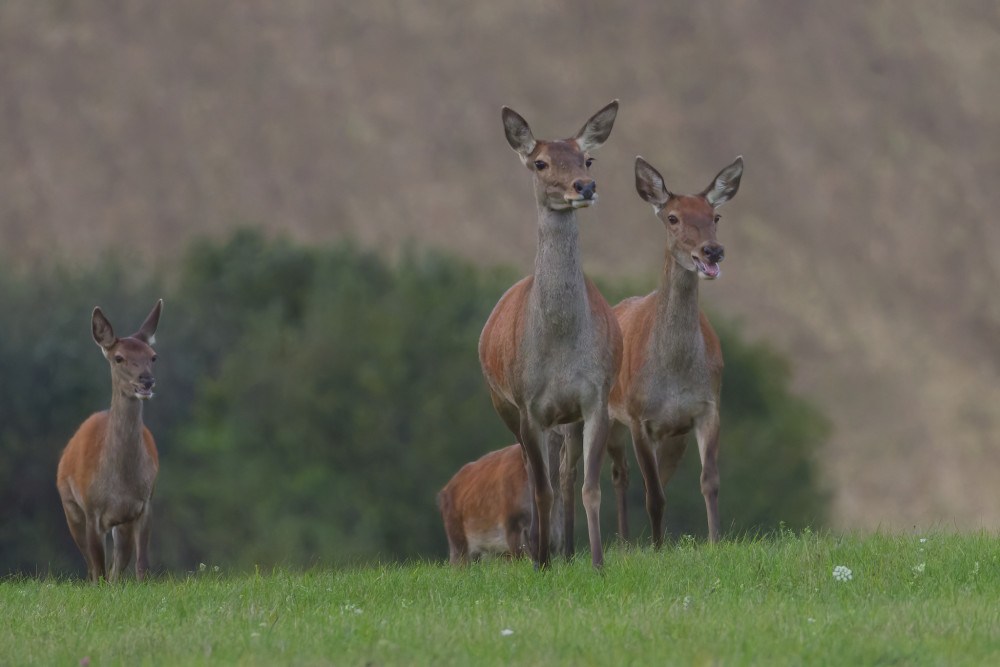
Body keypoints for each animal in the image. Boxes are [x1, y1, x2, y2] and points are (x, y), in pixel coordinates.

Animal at [56, 300, 163, 580]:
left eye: (153, 356)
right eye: (119, 357)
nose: (147, 380)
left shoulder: (145, 503)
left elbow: (142, 565)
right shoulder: (91, 508)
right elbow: (98, 569)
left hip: (121, 524)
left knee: (116, 568)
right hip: (70, 507)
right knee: (93, 569)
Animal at [478, 100, 624, 568]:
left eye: (587, 158)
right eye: (540, 162)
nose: (585, 186)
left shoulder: (595, 397)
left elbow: (590, 487)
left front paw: (598, 563)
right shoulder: (528, 406)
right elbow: (539, 489)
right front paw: (541, 562)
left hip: (568, 419)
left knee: (565, 473)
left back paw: (569, 550)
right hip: (502, 403)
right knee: (532, 471)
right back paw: (544, 553)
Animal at [600, 155, 744, 548]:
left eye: (716, 216)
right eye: (673, 217)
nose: (713, 250)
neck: (675, 374)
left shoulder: (706, 408)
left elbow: (709, 482)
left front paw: (715, 541)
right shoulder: (638, 417)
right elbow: (654, 495)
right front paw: (658, 548)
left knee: (623, 473)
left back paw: (626, 543)